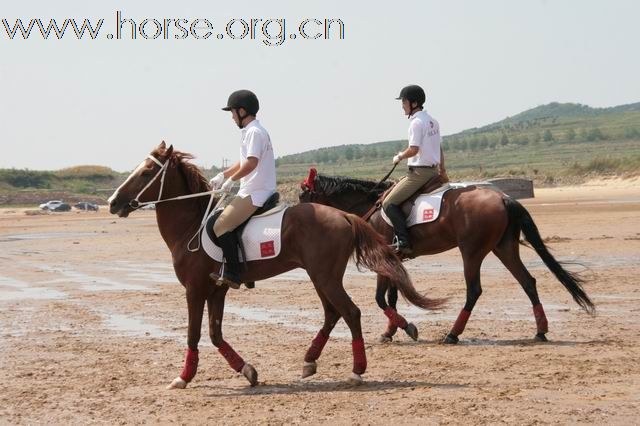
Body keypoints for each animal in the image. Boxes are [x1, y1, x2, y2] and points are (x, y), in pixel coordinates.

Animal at [106, 143, 444, 390]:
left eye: (147, 171)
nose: (113, 202)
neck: (191, 225)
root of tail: (345, 216)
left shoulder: (195, 289)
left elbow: (194, 334)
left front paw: (183, 377)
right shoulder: (217, 290)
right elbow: (215, 333)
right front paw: (247, 370)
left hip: (325, 276)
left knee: (350, 312)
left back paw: (356, 371)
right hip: (319, 276)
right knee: (333, 313)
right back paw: (309, 361)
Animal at [300, 169, 596, 342]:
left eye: (303, 196)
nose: (300, 218)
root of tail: (503, 198)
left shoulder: (384, 259)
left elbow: (380, 298)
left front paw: (406, 328)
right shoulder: (394, 260)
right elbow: (392, 297)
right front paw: (391, 331)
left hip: (472, 251)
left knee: (474, 290)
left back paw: (453, 334)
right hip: (504, 248)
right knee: (528, 282)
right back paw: (540, 331)